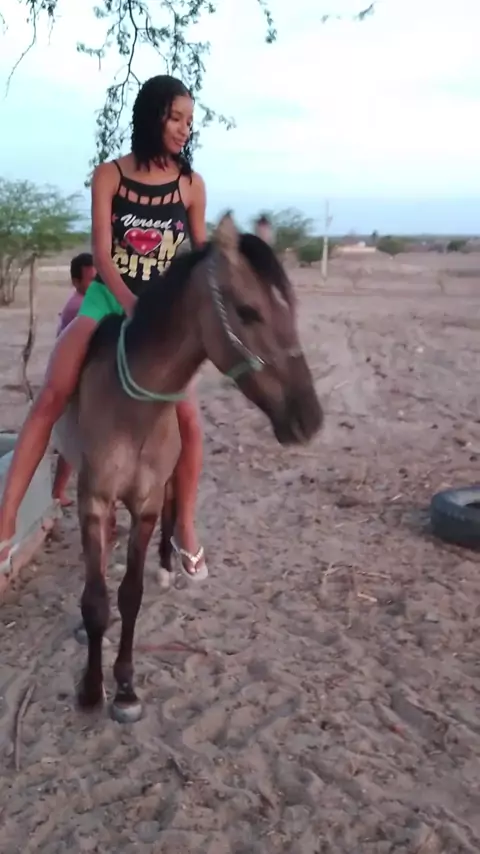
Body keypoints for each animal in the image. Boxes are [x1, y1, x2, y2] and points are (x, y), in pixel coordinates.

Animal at [53, 212, 323, 723]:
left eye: (294, 308)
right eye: (248, 311)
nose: (310, 419)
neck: (131, 407)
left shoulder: (144, 504)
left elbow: (131, 595)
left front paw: (125, 689)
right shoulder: (94, 500)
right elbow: (96, 602)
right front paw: (91, 688)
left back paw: (172, 562)